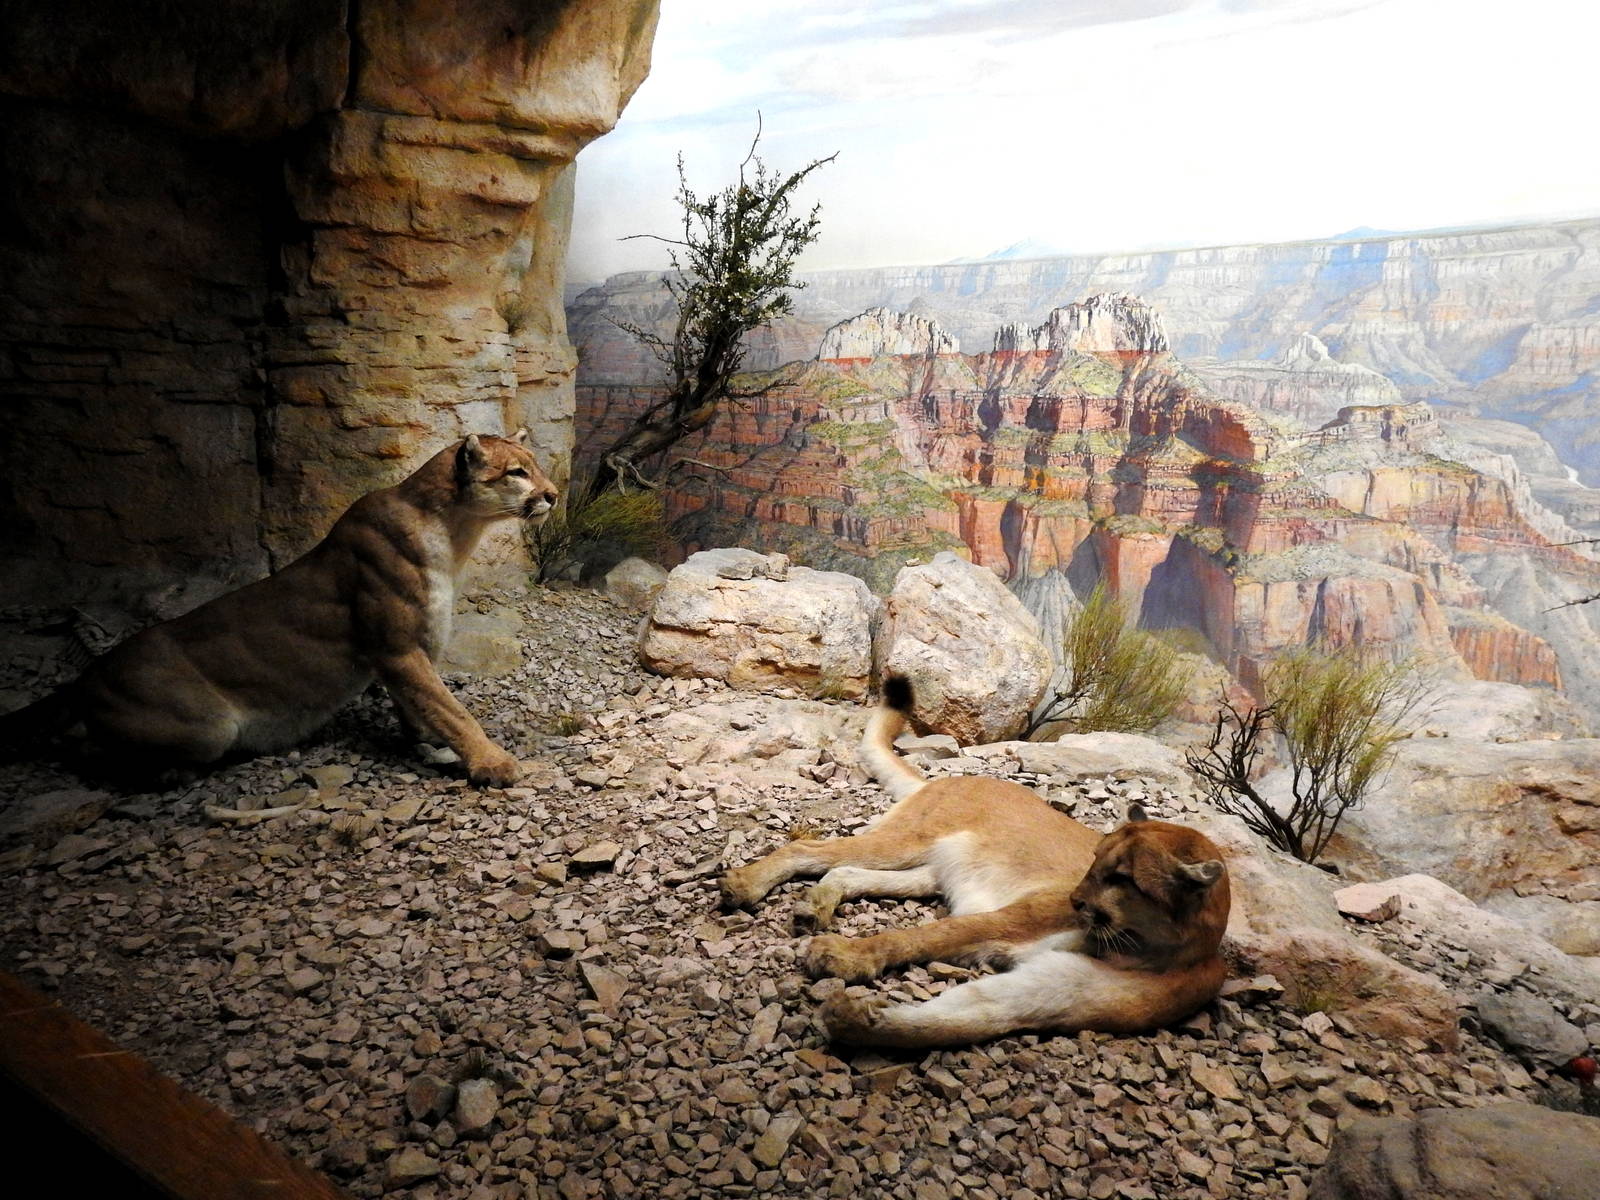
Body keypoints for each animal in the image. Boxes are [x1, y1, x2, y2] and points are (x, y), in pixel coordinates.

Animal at [1, 431, 557, 787]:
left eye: (537, 466)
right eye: (517, 472)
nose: (552, 494)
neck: (454, 530)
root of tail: (90, 673)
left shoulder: (410, 649)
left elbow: (423, 705)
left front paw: (429, 744)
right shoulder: (397, 647)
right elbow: (451, 708)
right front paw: (492, 763)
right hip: (208, 725)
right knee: (91, 752)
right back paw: (172, 771)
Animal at [720, 675, 1231, 1047]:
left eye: (1122, 878)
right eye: (1095, 860)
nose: (1075, 900)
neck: (1140, 948)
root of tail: (949, 776)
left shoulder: (1061, 988)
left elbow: (972, 1015)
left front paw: (856, 1019)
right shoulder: (1009, 921)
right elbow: (923, 936)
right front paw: (844, 957)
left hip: (929, 870)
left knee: (844, 870)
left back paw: (815, 908)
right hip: (906, 841)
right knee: (807, 851)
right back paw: (744, 886)